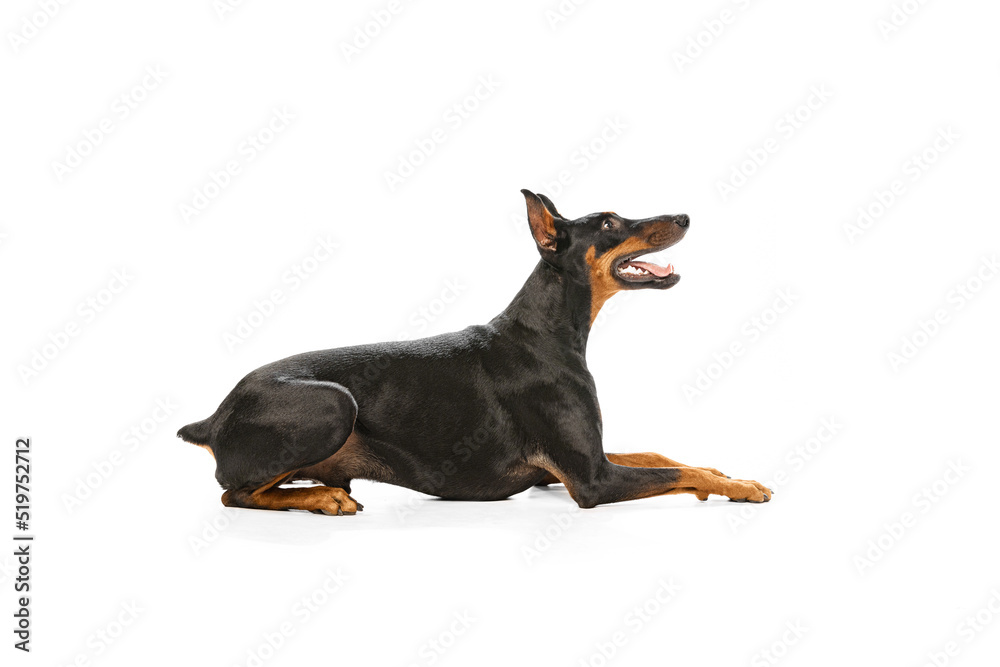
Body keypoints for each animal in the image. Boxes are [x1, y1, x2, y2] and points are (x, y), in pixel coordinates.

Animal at [182, 190, 772, 516]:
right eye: (608, 222)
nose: (685, 216)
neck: (549, 333)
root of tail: (211, 419)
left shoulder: (577, 462)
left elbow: (665, 457)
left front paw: (725, 472)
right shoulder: (590, 480)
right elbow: (673, 473)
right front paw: (741, 486)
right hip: (333, 402)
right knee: (234, 494)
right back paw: (325, 498)